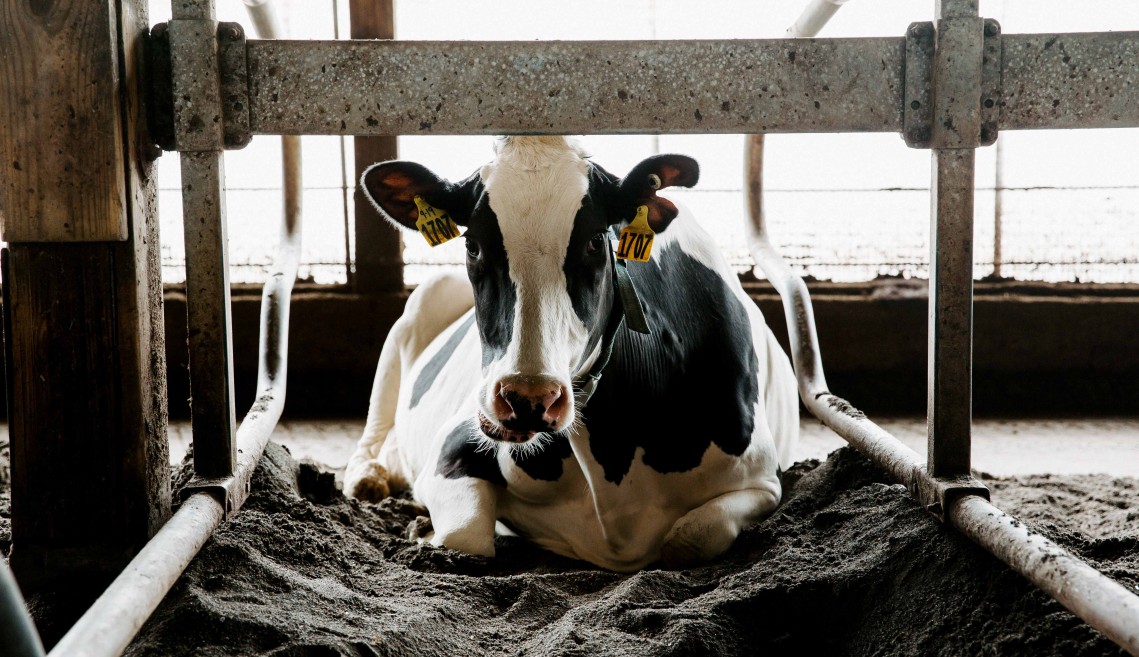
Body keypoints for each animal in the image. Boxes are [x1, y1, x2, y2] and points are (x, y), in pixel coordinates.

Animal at [344, 136, 799, 572]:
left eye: (597, 241)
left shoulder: (763, 480)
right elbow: (466, 538)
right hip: (421, 303)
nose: (526, 398)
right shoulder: (454, 444)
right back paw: (368, 478)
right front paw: (423, 530)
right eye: (472, 243)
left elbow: (689, 539)